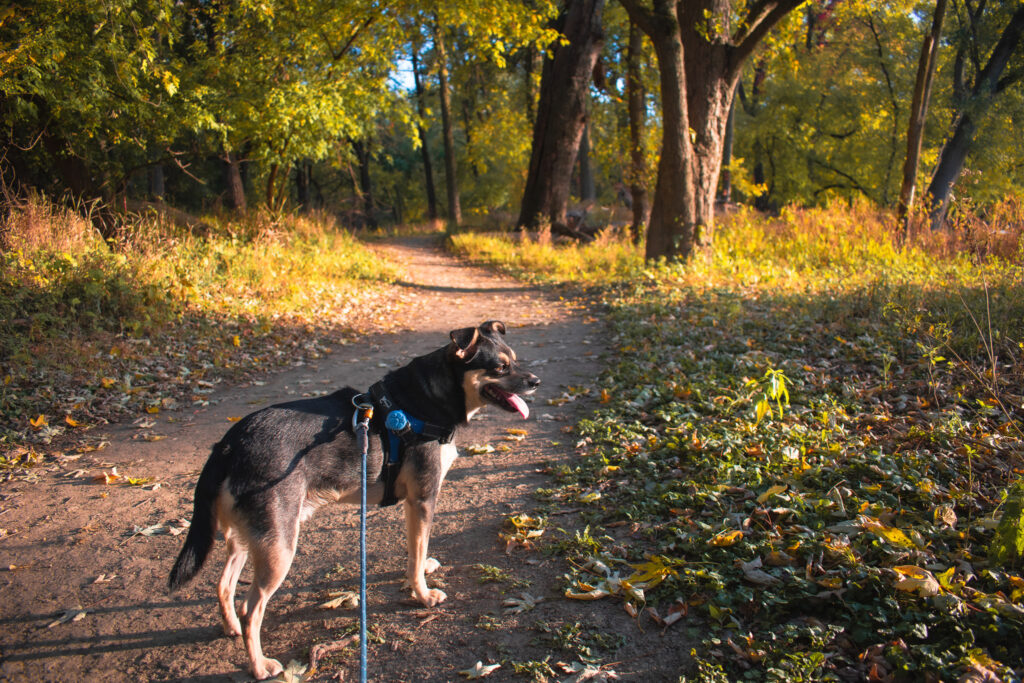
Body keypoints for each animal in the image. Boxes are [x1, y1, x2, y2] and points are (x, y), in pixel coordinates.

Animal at [165, 321, 544, 679]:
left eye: (515, 359)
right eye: (500, 367)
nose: (536, 381)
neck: (428, 401)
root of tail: (229, 444)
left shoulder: (414, 506)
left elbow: (416, 551)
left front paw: (423, 570)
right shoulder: (423, 499)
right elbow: (416, 553)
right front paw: (422, 595)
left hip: (250, 540)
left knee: (223, 586)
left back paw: (230, 628)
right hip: (279, 547)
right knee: (250, 609)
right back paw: (259, 665)